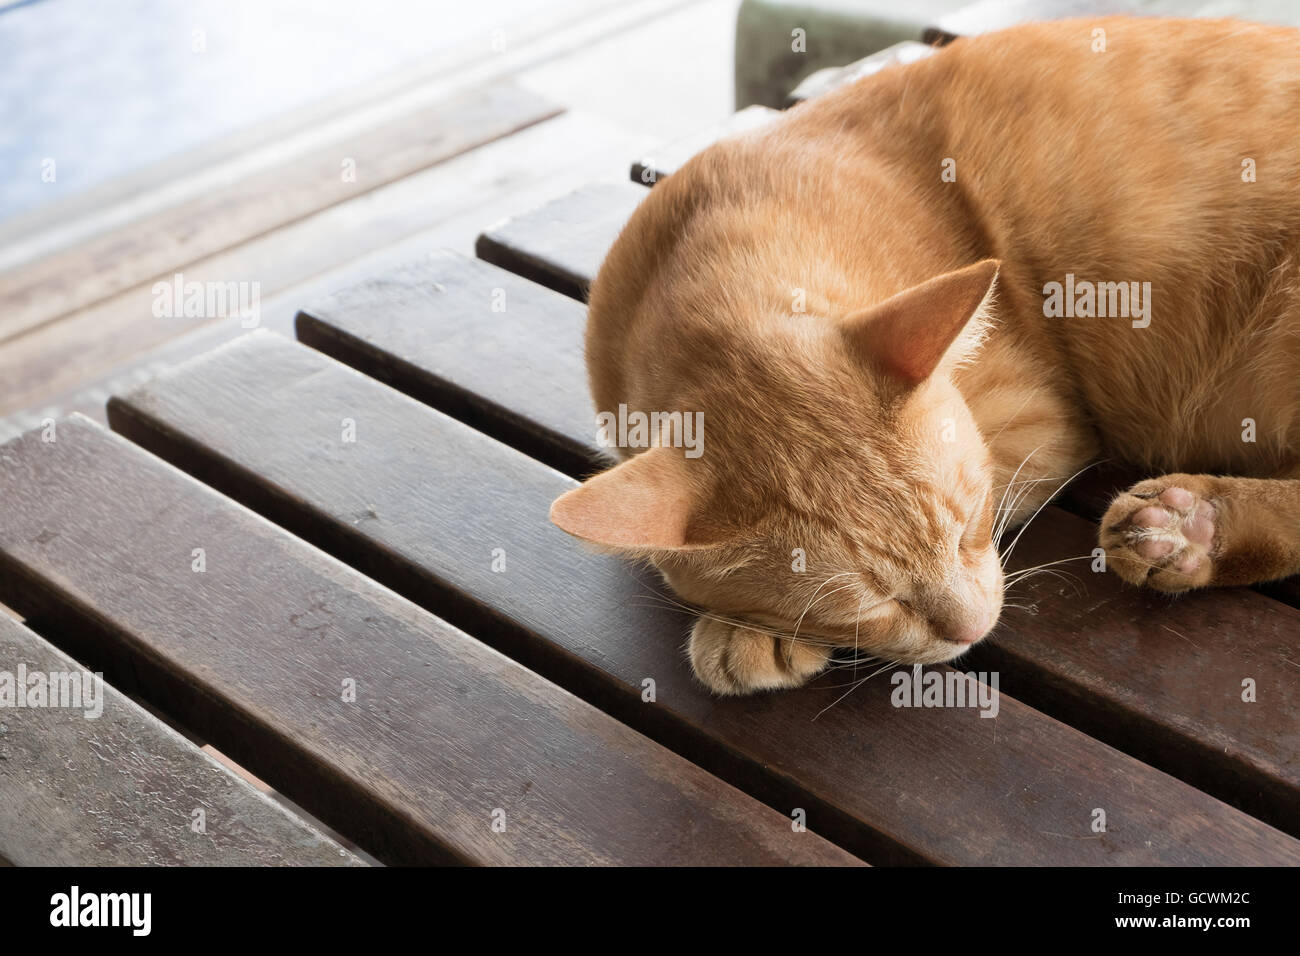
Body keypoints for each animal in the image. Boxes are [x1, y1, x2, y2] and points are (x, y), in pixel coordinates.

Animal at [546, 16, 1300, 697]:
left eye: (971, 526)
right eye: (872, 604)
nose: (973, 630)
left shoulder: (1036, 425)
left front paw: (745, 631)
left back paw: (1189, 526)